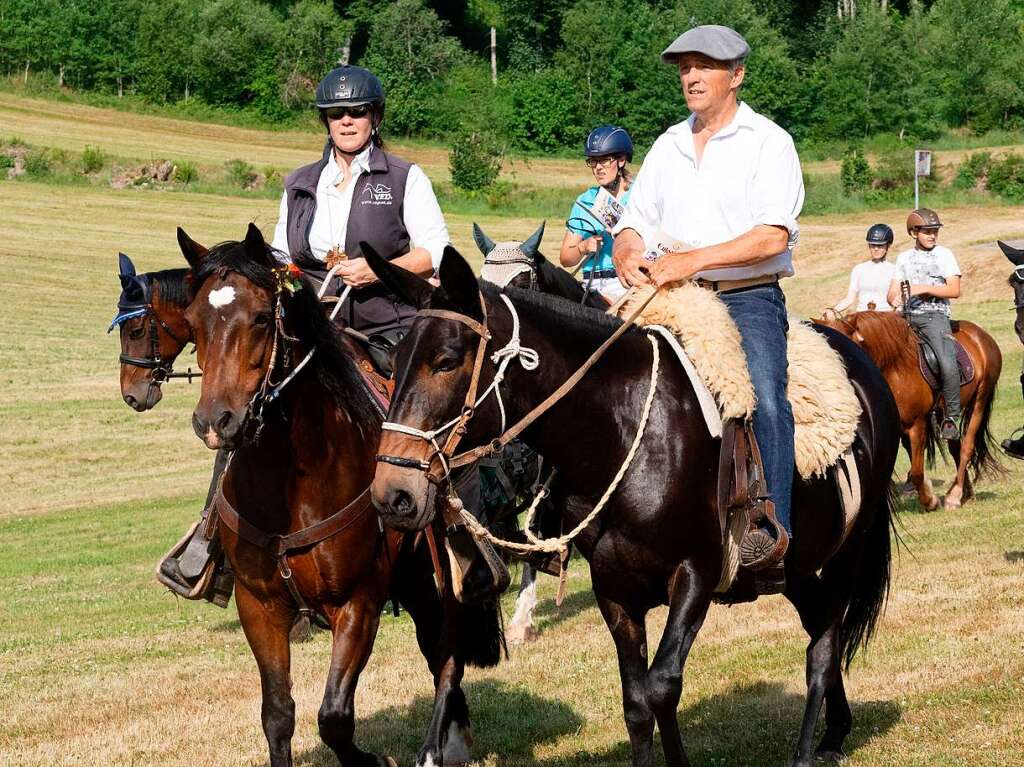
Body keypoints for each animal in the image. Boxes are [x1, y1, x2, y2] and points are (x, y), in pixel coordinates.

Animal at [178, 227, 501, 765]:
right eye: (193, 320)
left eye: (262, 318)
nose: (215, 421)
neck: (290, 489)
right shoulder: (259, 606)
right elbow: (278, 715)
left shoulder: (358, 604)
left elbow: (334, 718)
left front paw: (377, 760)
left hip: (437, 588)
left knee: (447, 661)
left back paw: (441, 747)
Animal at [364, 246, 901, 765]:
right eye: (393, 361)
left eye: (447, 360)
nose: (393, 493)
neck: (627, 431)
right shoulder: (615, 588)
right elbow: (637, 702)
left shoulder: (695, 575)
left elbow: (663, 686)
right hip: (799, 568)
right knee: (820, 632)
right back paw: (835, 732)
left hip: (845, 555)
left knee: (824, 648)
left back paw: (809, 751)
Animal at [819, 311, 1003, 507]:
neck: (895, 368)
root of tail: (981, 335)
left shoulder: (917, 424)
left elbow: (916, 472)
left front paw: (930, 501)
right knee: (955, 447)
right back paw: (965, 492)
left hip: (980, 399)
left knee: (966, 447)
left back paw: (955, 495)